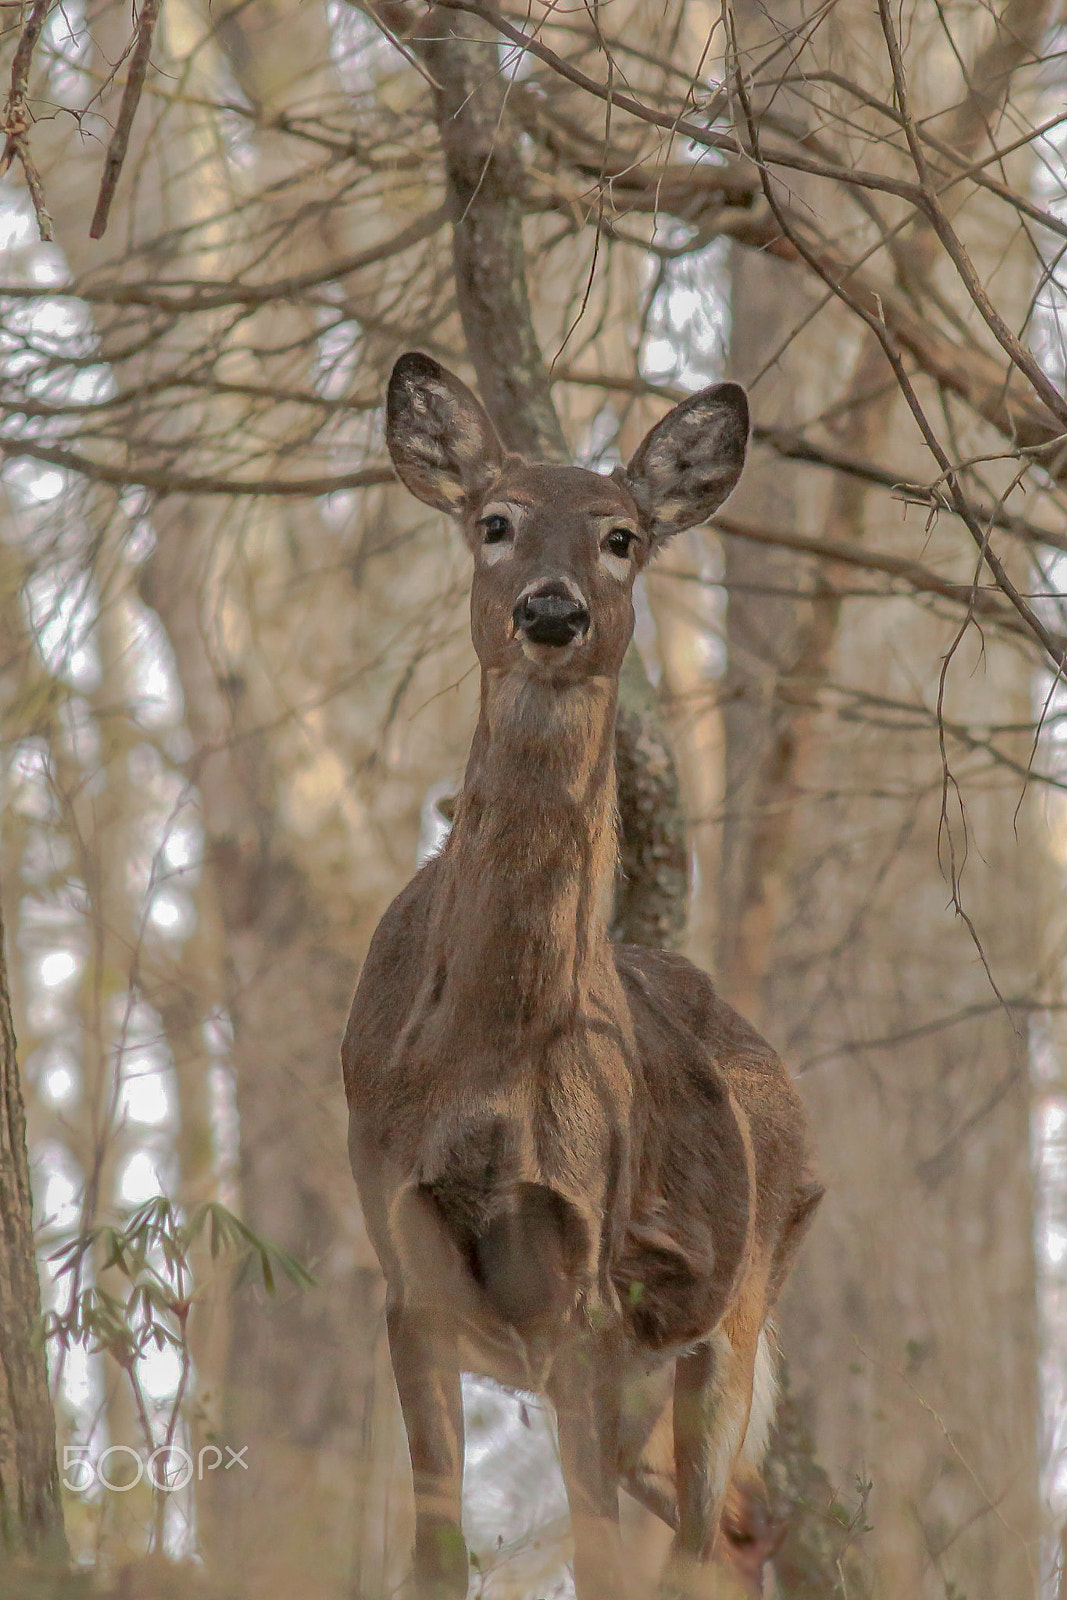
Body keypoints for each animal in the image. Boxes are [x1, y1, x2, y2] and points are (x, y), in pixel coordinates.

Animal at [337, 353, 825, 1600]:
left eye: (620, 537)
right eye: (493, 521)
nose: (550, 611)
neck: (478, 1061)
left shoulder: (582, 1296)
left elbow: (596, 1561)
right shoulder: (403, 1262)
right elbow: (434, 1555)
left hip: (735, 1308)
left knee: (704, 1536)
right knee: (743, 1525)